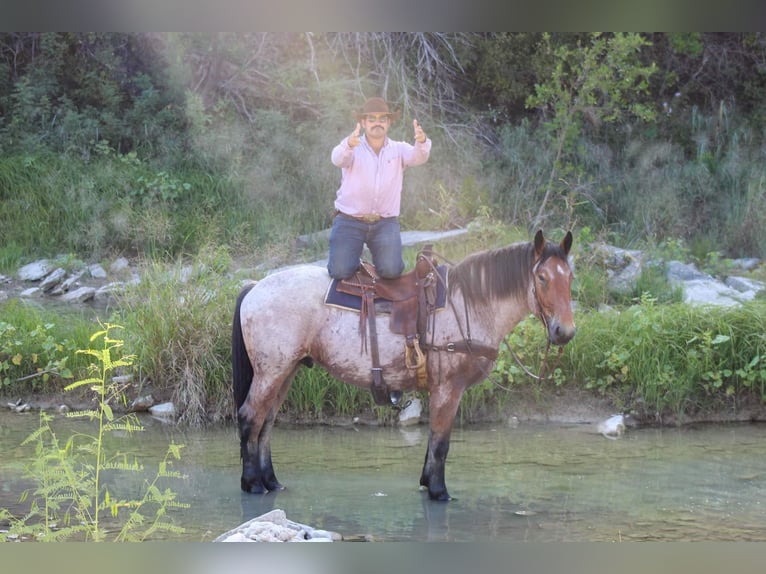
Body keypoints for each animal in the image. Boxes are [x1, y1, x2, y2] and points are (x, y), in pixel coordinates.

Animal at [232, 230, 575, 501]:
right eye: (542, 278)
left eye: (570, 277)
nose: (565, 331)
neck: (468, 304)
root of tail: (255, 287)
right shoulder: (449, 388)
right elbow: (441, 442)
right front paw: (439, 491)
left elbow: (433, 441)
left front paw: (427, 483)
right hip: (271, 372)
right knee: (250, 417)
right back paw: (252, 484)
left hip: (286, 371)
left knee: (266, 423)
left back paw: (272, 482)